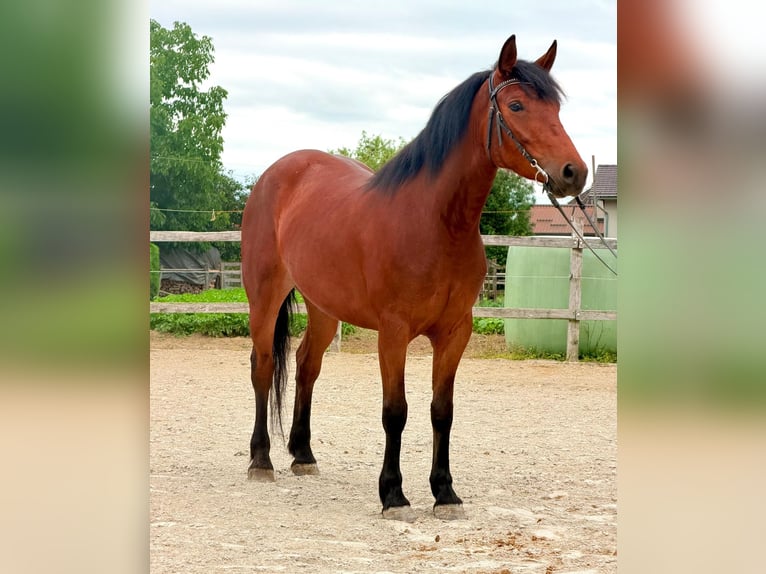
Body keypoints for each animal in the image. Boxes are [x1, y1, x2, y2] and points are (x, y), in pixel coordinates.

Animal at [241, 34, 587, 520]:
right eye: (517, 106)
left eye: (555, 107)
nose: (574, 172)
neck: (436, 222)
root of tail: (275, 174)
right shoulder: (394, 332)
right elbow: (396, 412)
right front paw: (393, 495)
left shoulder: (455, 331)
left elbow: (442, 411)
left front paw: (445, 492)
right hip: (264, 296)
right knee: (263, 365)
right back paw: (261, 460)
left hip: (324, 307)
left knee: (308, 365)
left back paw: (303, 455)